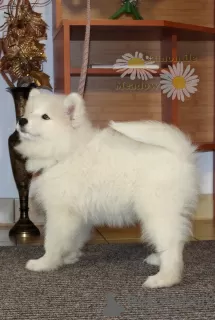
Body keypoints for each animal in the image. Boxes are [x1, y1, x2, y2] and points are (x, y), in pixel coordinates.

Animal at [15, 89, 199, 288]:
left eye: (45, 117)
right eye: (28, 112)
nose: (21, 120)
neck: (66, 151)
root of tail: (181, 153)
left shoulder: (60, 211)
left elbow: (52, 241)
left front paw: (45, 263)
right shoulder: (78, 213)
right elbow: (73, 238)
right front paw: (69, 256)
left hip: (157, 210)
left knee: (171, 244)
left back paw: (164, 278)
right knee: (174, 240)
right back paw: (157, 259)